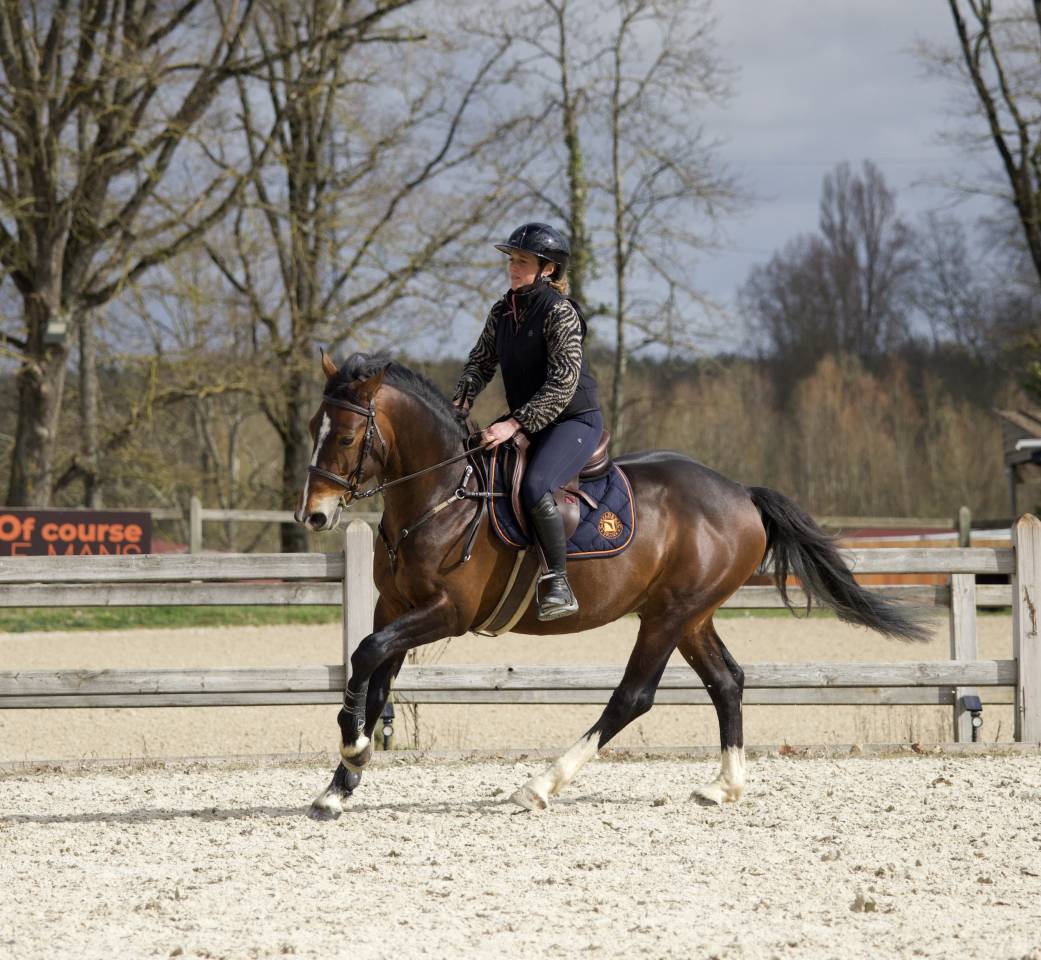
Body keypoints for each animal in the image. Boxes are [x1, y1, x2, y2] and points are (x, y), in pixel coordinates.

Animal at [296, 352, 926, 819]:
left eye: (347, 437)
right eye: (311, 429)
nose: (315, 516)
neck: (443, 495)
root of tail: (741, 494)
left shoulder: (446, 612)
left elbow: (366, 654)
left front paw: (353, 746)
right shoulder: (394, 606)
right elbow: (376, 677)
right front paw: (341, 783)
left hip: (667, 617)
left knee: (633, 696)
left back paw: (542, 784)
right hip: (690, 617)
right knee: (727, 682)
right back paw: (723, 787)